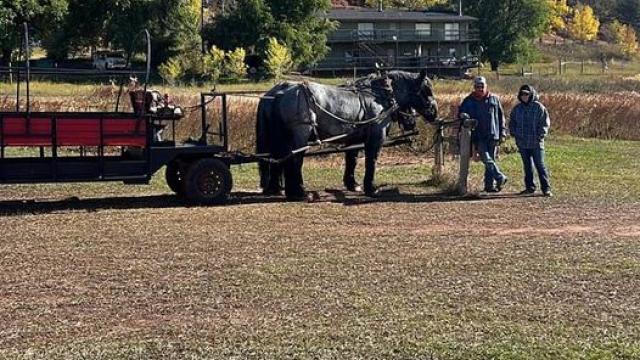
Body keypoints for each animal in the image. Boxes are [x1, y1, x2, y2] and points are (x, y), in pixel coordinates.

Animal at [258, 70, 438, 200]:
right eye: (427, 91)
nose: (434, 112)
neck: (379, 96)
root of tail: (279, 92)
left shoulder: (353, 139)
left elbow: (352, 159)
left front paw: (352, 184)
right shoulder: (376, 138)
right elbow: (371, 161)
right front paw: (371, 187)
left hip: (280, 137)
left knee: (279, 159)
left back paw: (280, 189)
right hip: (299, 136)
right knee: (295, 160)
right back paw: (300, 192)